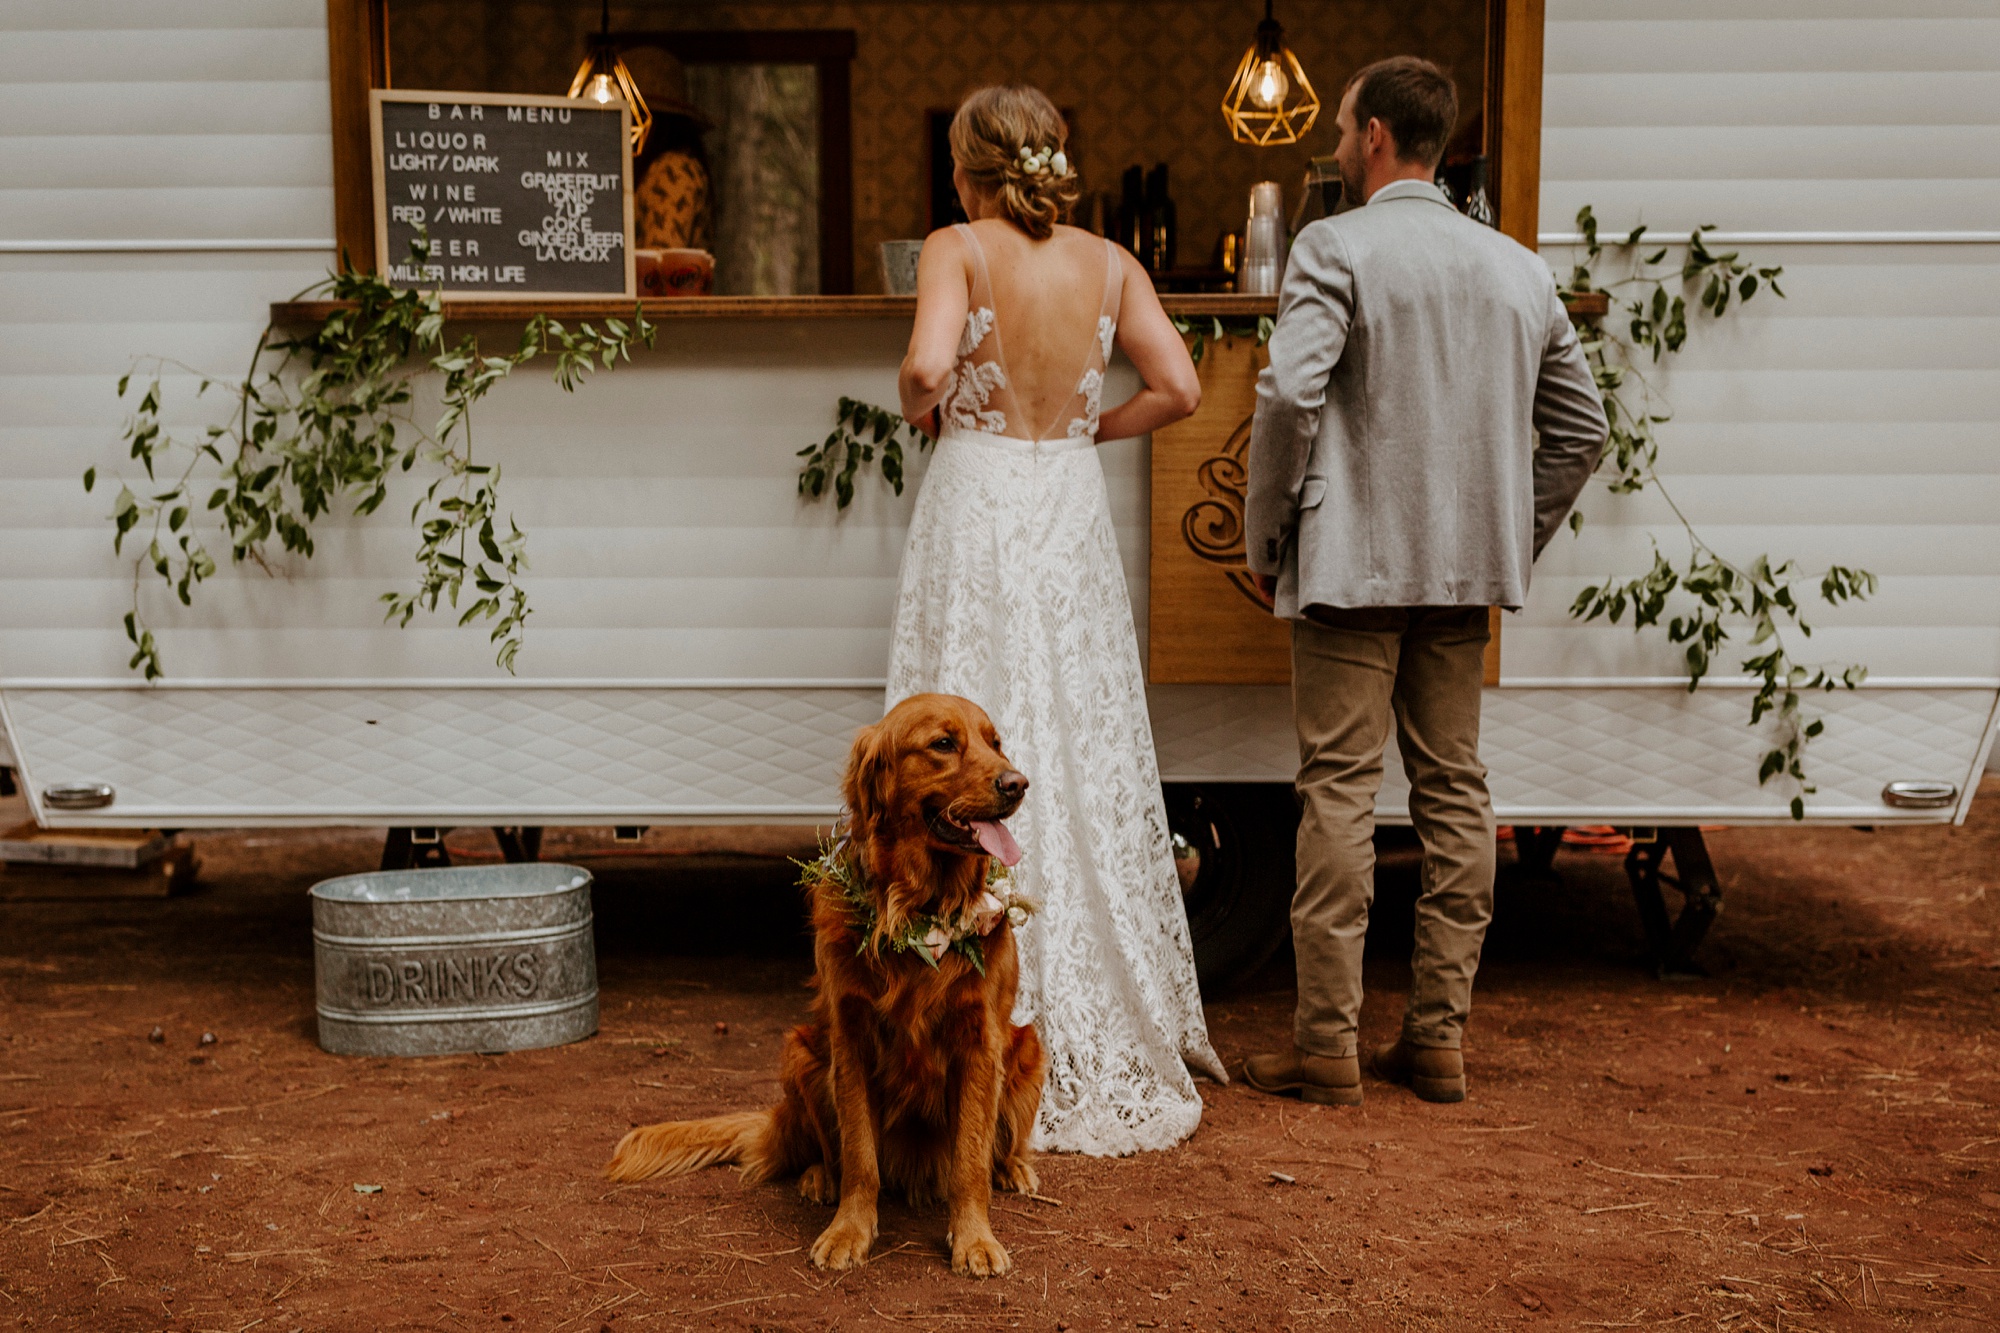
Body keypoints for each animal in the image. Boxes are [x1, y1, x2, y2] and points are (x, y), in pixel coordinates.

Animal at [604, 688, 1048, 1272]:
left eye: (996, 743)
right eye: (943, 744)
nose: (1017, 783)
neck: (917, 911)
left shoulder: (981, 1042)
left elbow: (969, 1160)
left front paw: (974, 1239)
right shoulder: (851, 1039)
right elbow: (860, 1156)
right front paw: (849, 1230)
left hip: (1028, 1049)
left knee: (1002, 1146)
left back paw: (1014, 1168)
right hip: (803, 1053)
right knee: (828, 1154)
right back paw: (819, 1180)